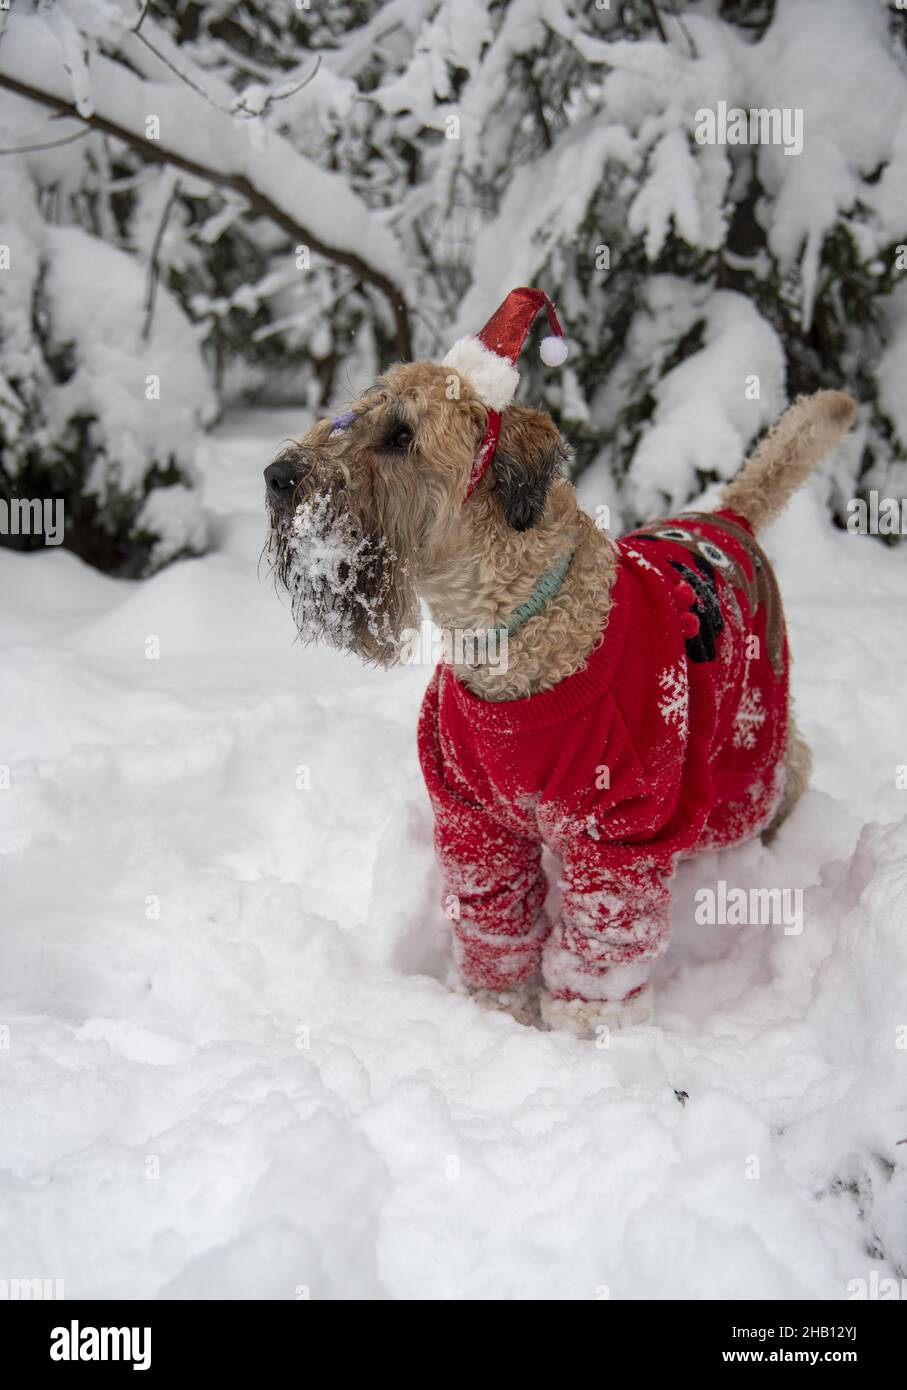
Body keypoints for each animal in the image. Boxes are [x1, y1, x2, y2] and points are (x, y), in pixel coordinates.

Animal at [263, 287, 855, 1039]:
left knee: (787, 773)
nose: (276, 476)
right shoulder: (473, 819)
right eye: (352, 414)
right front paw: (497, 1010)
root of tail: (730, 519)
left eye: (400, 436)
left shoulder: (622, 831)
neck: (508, 634)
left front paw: (588, 1028)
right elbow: (497, 918)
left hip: (744, 764)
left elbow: (603, 935)